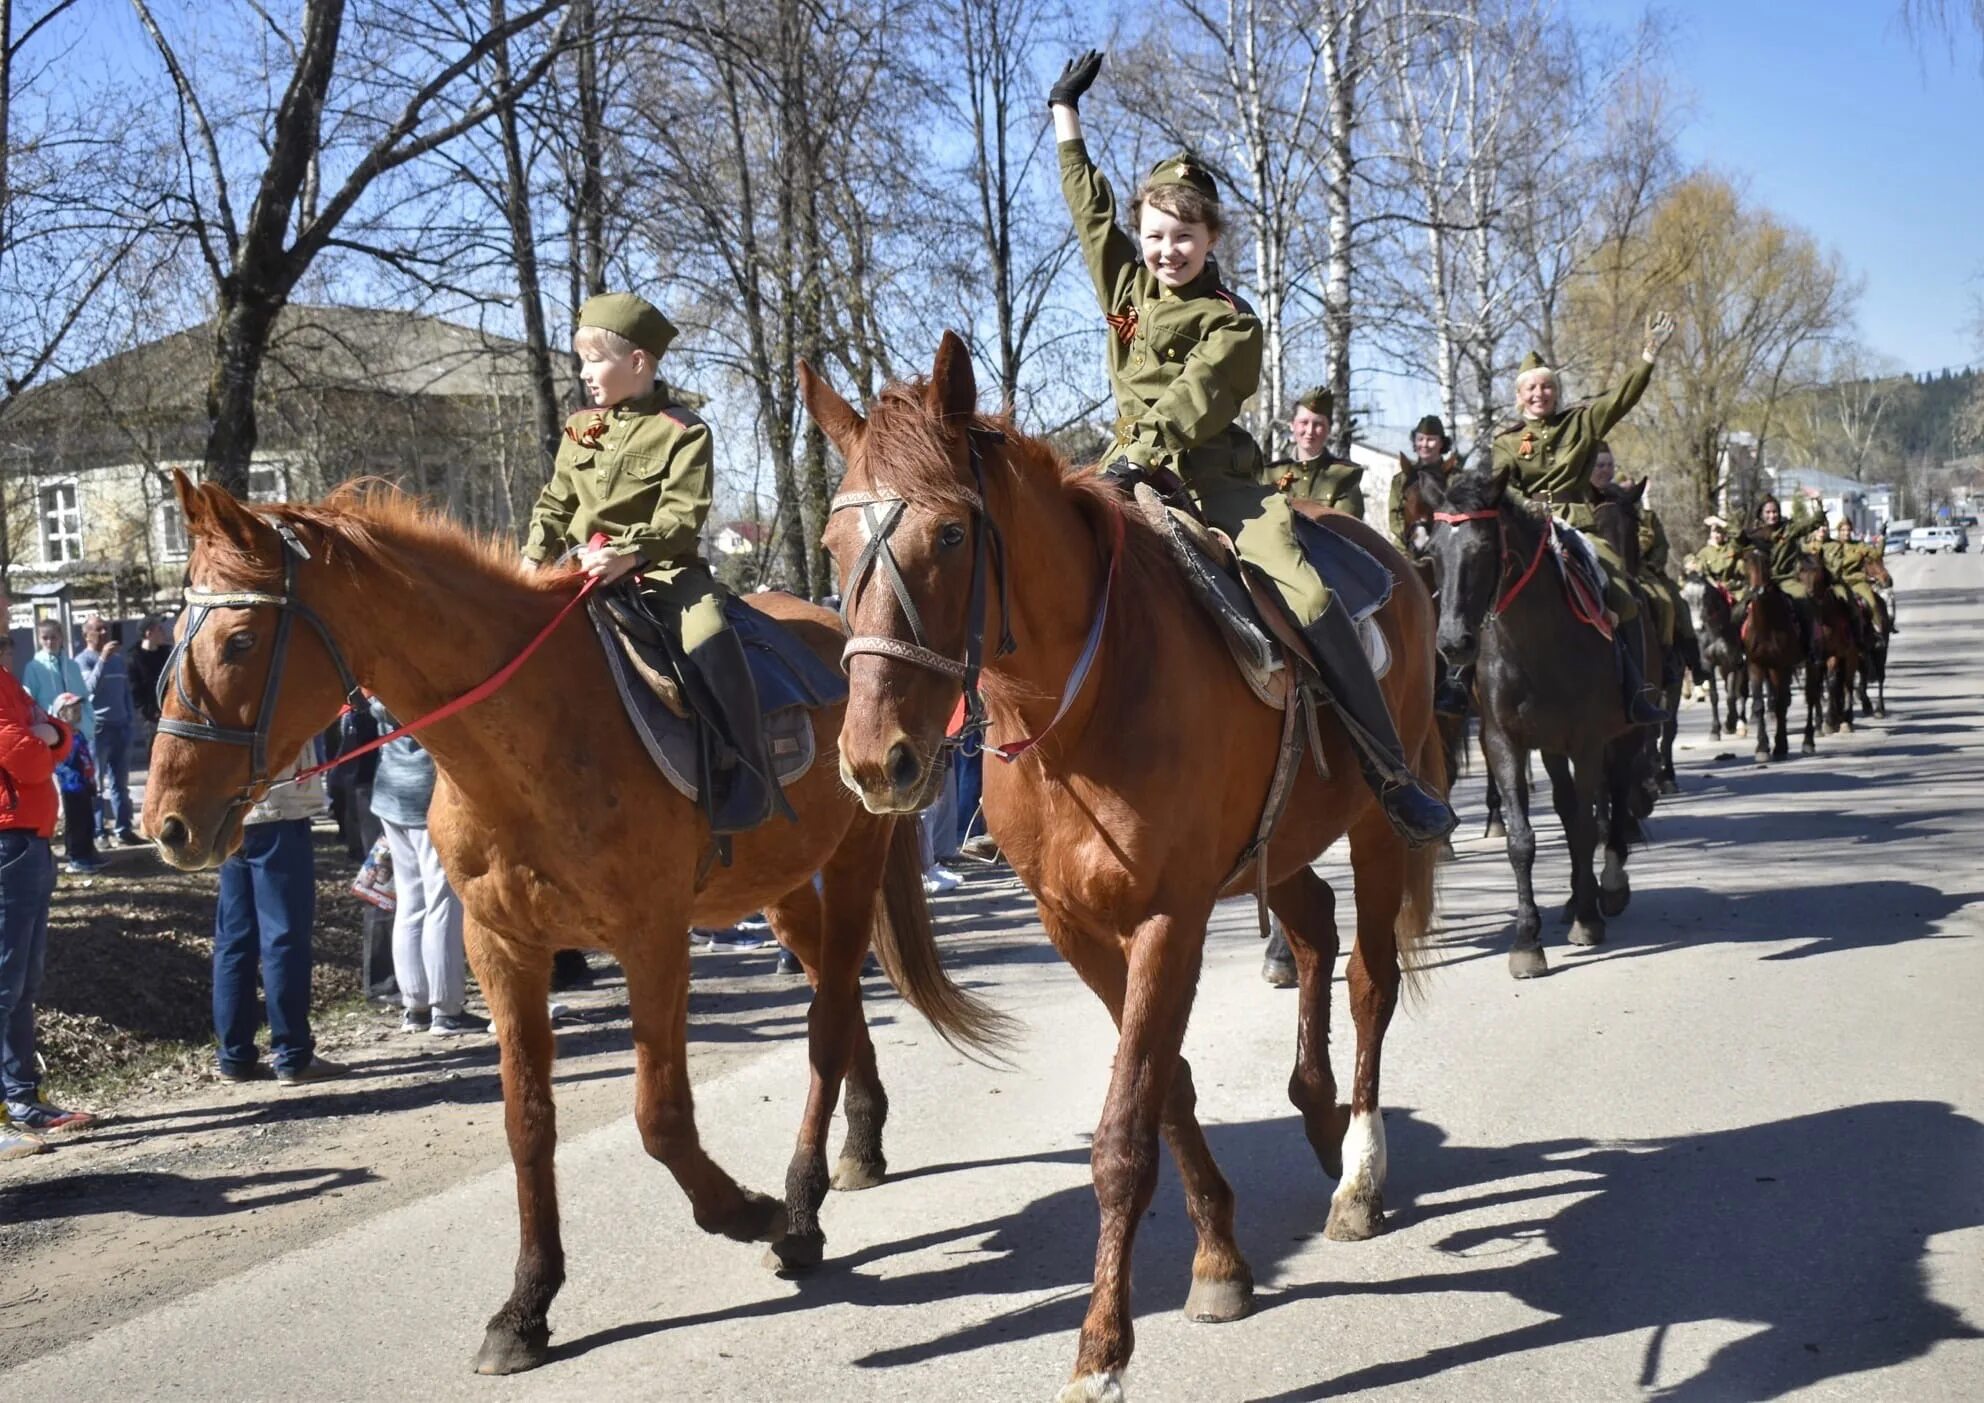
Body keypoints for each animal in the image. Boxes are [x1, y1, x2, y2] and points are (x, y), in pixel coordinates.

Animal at [139, 478, 1007, 1381]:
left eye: (240, 639)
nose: (166, 822)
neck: (533, 738)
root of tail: (846, 631)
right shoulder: (502, 951)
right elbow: (528, 1123)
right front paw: (526, 1306)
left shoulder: (652, 941)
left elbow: (660, 1117)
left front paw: (748, 1210)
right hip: (780, 890)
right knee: (837, 1004)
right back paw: (861, 1145)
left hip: (854, 858)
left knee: (829, 1020)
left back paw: (801, 1211)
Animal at [801, 331, 1444, 1403]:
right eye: (830, 547)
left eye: (950, 535)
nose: (873, 761)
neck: (1082, 703)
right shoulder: (1077, 925)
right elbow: (1166, 1086)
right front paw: (1220, 1255)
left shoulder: (1169, 918)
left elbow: (1123, 1130)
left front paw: (1102, 1346)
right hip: (1276, 850)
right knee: (1312, 936)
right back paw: (1316, 1116)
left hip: (1378, 826)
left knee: (1367, 978)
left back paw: (1359, 1169)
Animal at [1428, 466, 1642, 984]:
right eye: (1433, 552)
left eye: (1484, 548)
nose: (1453, 643)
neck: (1535, 642)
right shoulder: (1503, 741)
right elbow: (1523, 840)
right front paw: (1527, 941)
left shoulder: (1587, 741)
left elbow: (1586, 826)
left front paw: (1587, 918)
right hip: (1550, 747)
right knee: (1567, 806)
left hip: (1624, 734)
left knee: (1614, 796)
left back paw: (1606, 887)